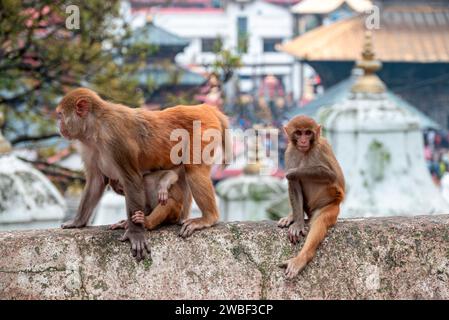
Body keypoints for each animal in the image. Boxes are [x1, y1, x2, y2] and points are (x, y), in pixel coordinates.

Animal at [56, 87, 229, 260]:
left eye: (60, 115)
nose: (60, 127)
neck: (96, 125)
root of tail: (203, 108)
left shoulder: (117, 141)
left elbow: (131, 180)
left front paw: (136, 234)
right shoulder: (89, 147)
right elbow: (96, 182)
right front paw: (77, 222)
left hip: (203, 131)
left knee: (194, 171)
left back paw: (207, 218)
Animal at [278, 115, 344, 278]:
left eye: (308, 133)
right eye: (298, 133)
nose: (303, 141)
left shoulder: (322, 149)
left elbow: (332, 176)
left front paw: (293, 172)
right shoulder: (289, 152)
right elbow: (294, 185)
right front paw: (298, 224)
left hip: (332, 207)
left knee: (320, 222)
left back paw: (301, 259)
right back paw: (293, 216)